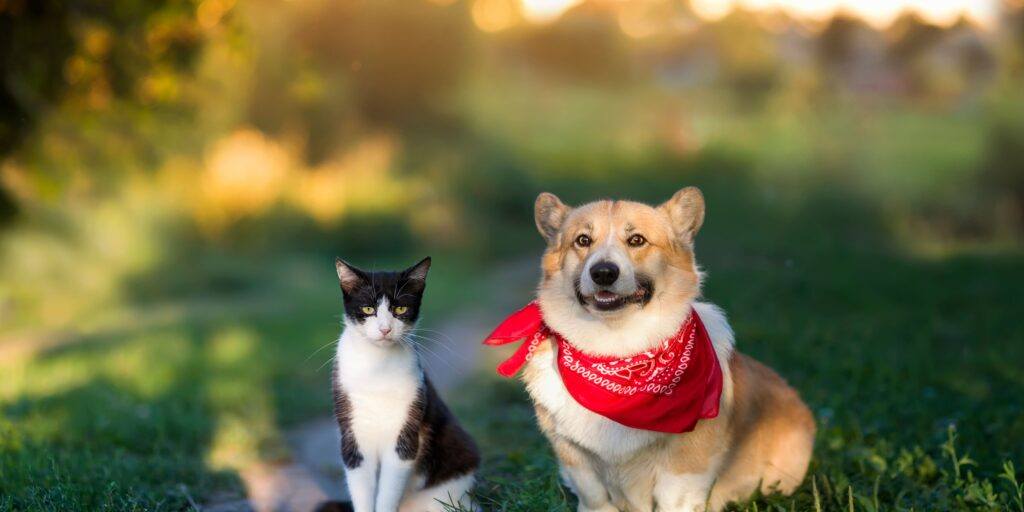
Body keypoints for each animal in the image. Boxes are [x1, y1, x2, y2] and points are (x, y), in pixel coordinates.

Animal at [319, 258, 479, 512]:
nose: (385, 329)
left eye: (400, 309)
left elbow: (389, 490)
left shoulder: (406, 432)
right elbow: (360, 483)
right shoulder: (352, 430)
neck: (378, 366)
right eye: (368, 309)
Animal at [516, 189, 811, 512]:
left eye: (637, 240)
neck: (618, 351)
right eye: (583, 240)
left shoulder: (683, 470)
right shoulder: (575, 459)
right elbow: (594, 496)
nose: (603, 273)